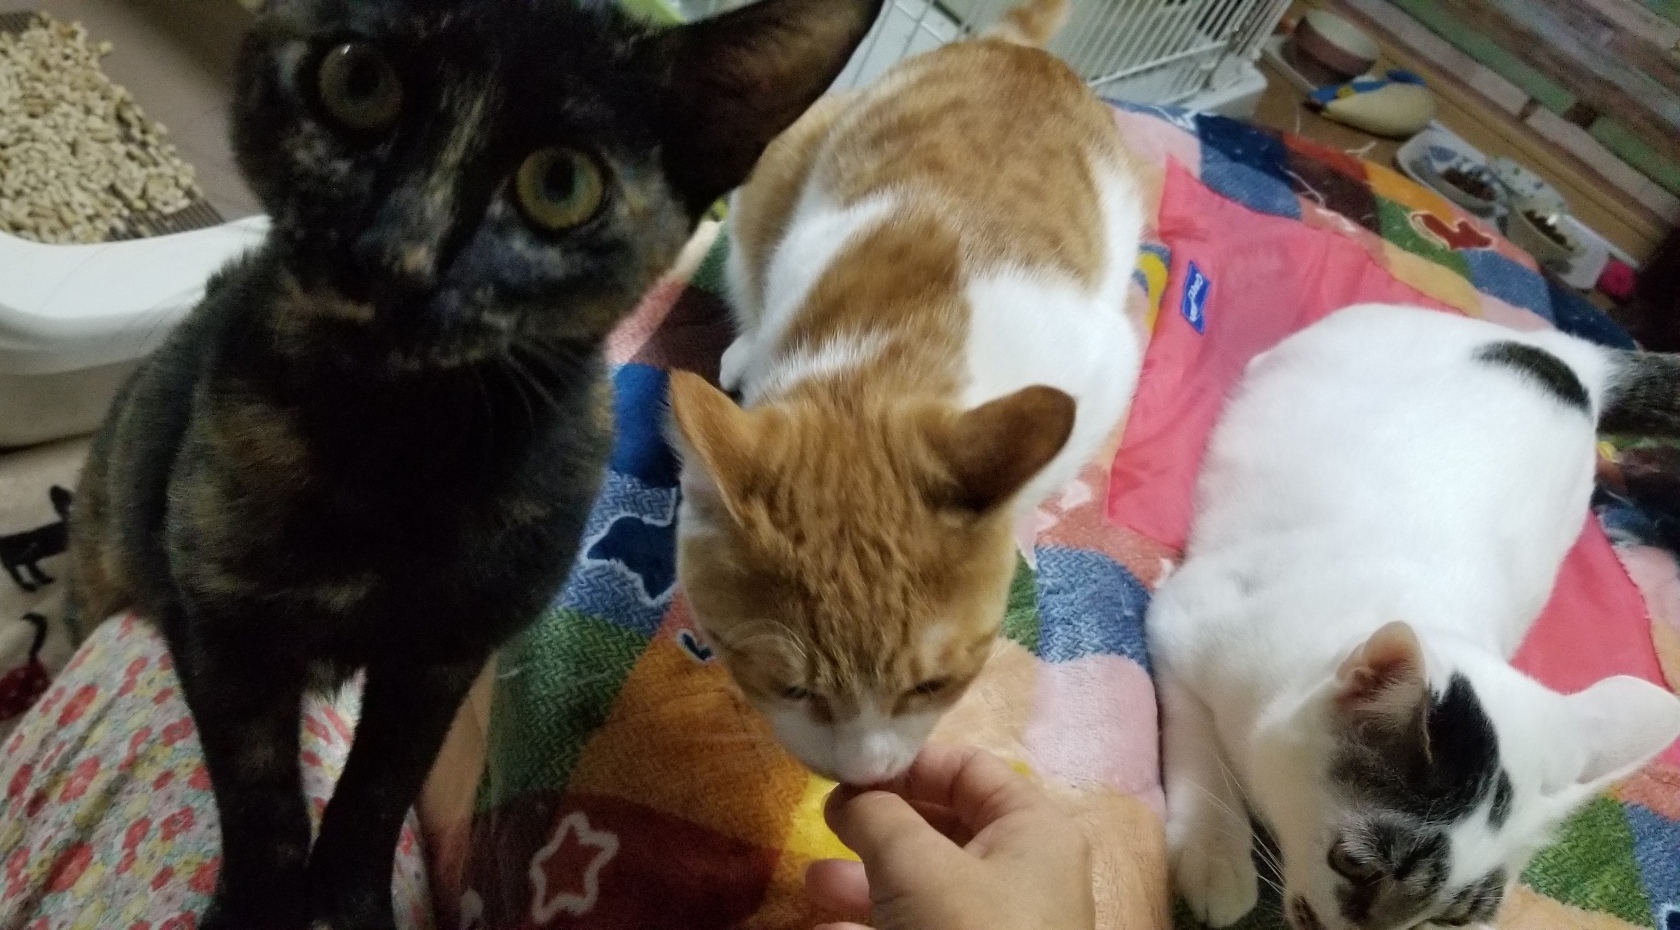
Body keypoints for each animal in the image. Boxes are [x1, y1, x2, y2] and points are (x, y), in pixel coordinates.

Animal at [65, 1, 880, 927]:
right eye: (357, 81)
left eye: (560, 185)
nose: (395, 255)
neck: (393, 448)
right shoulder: (226, 633)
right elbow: (261, 801)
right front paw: (260, 909)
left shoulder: (441, 659)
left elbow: (377, 793)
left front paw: (351, 905)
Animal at [668, 0, 1150, 786]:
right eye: (792, 688)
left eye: (933, 685)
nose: (865, 775)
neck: (881, 368)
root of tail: (1013, 46)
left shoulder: (1108, 365)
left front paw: (1021, 526)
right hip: (781, 164)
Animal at [1147, 303, 1680, 930]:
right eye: (1355, 864)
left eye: (1449, 920)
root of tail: (1573, 358)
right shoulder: (1181, 621)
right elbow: (1198, 740)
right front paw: (1215, 852)